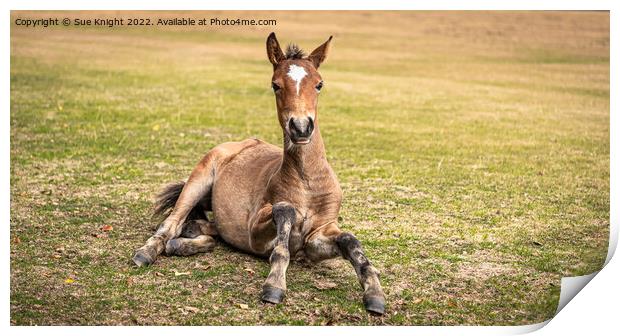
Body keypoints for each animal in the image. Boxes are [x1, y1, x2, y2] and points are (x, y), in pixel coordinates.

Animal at [133, 33, 386, 316]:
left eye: (319, 84)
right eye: (275, 85)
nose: (301, 127)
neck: (308, 182)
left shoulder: (316, 238)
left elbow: (351, 242)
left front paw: (375, 295)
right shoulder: (256, 231)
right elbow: (284, 216)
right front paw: (274, 285)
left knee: (208, 231)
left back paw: (188, 237)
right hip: (197, 179)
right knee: (171, 224)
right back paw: (147, 252)